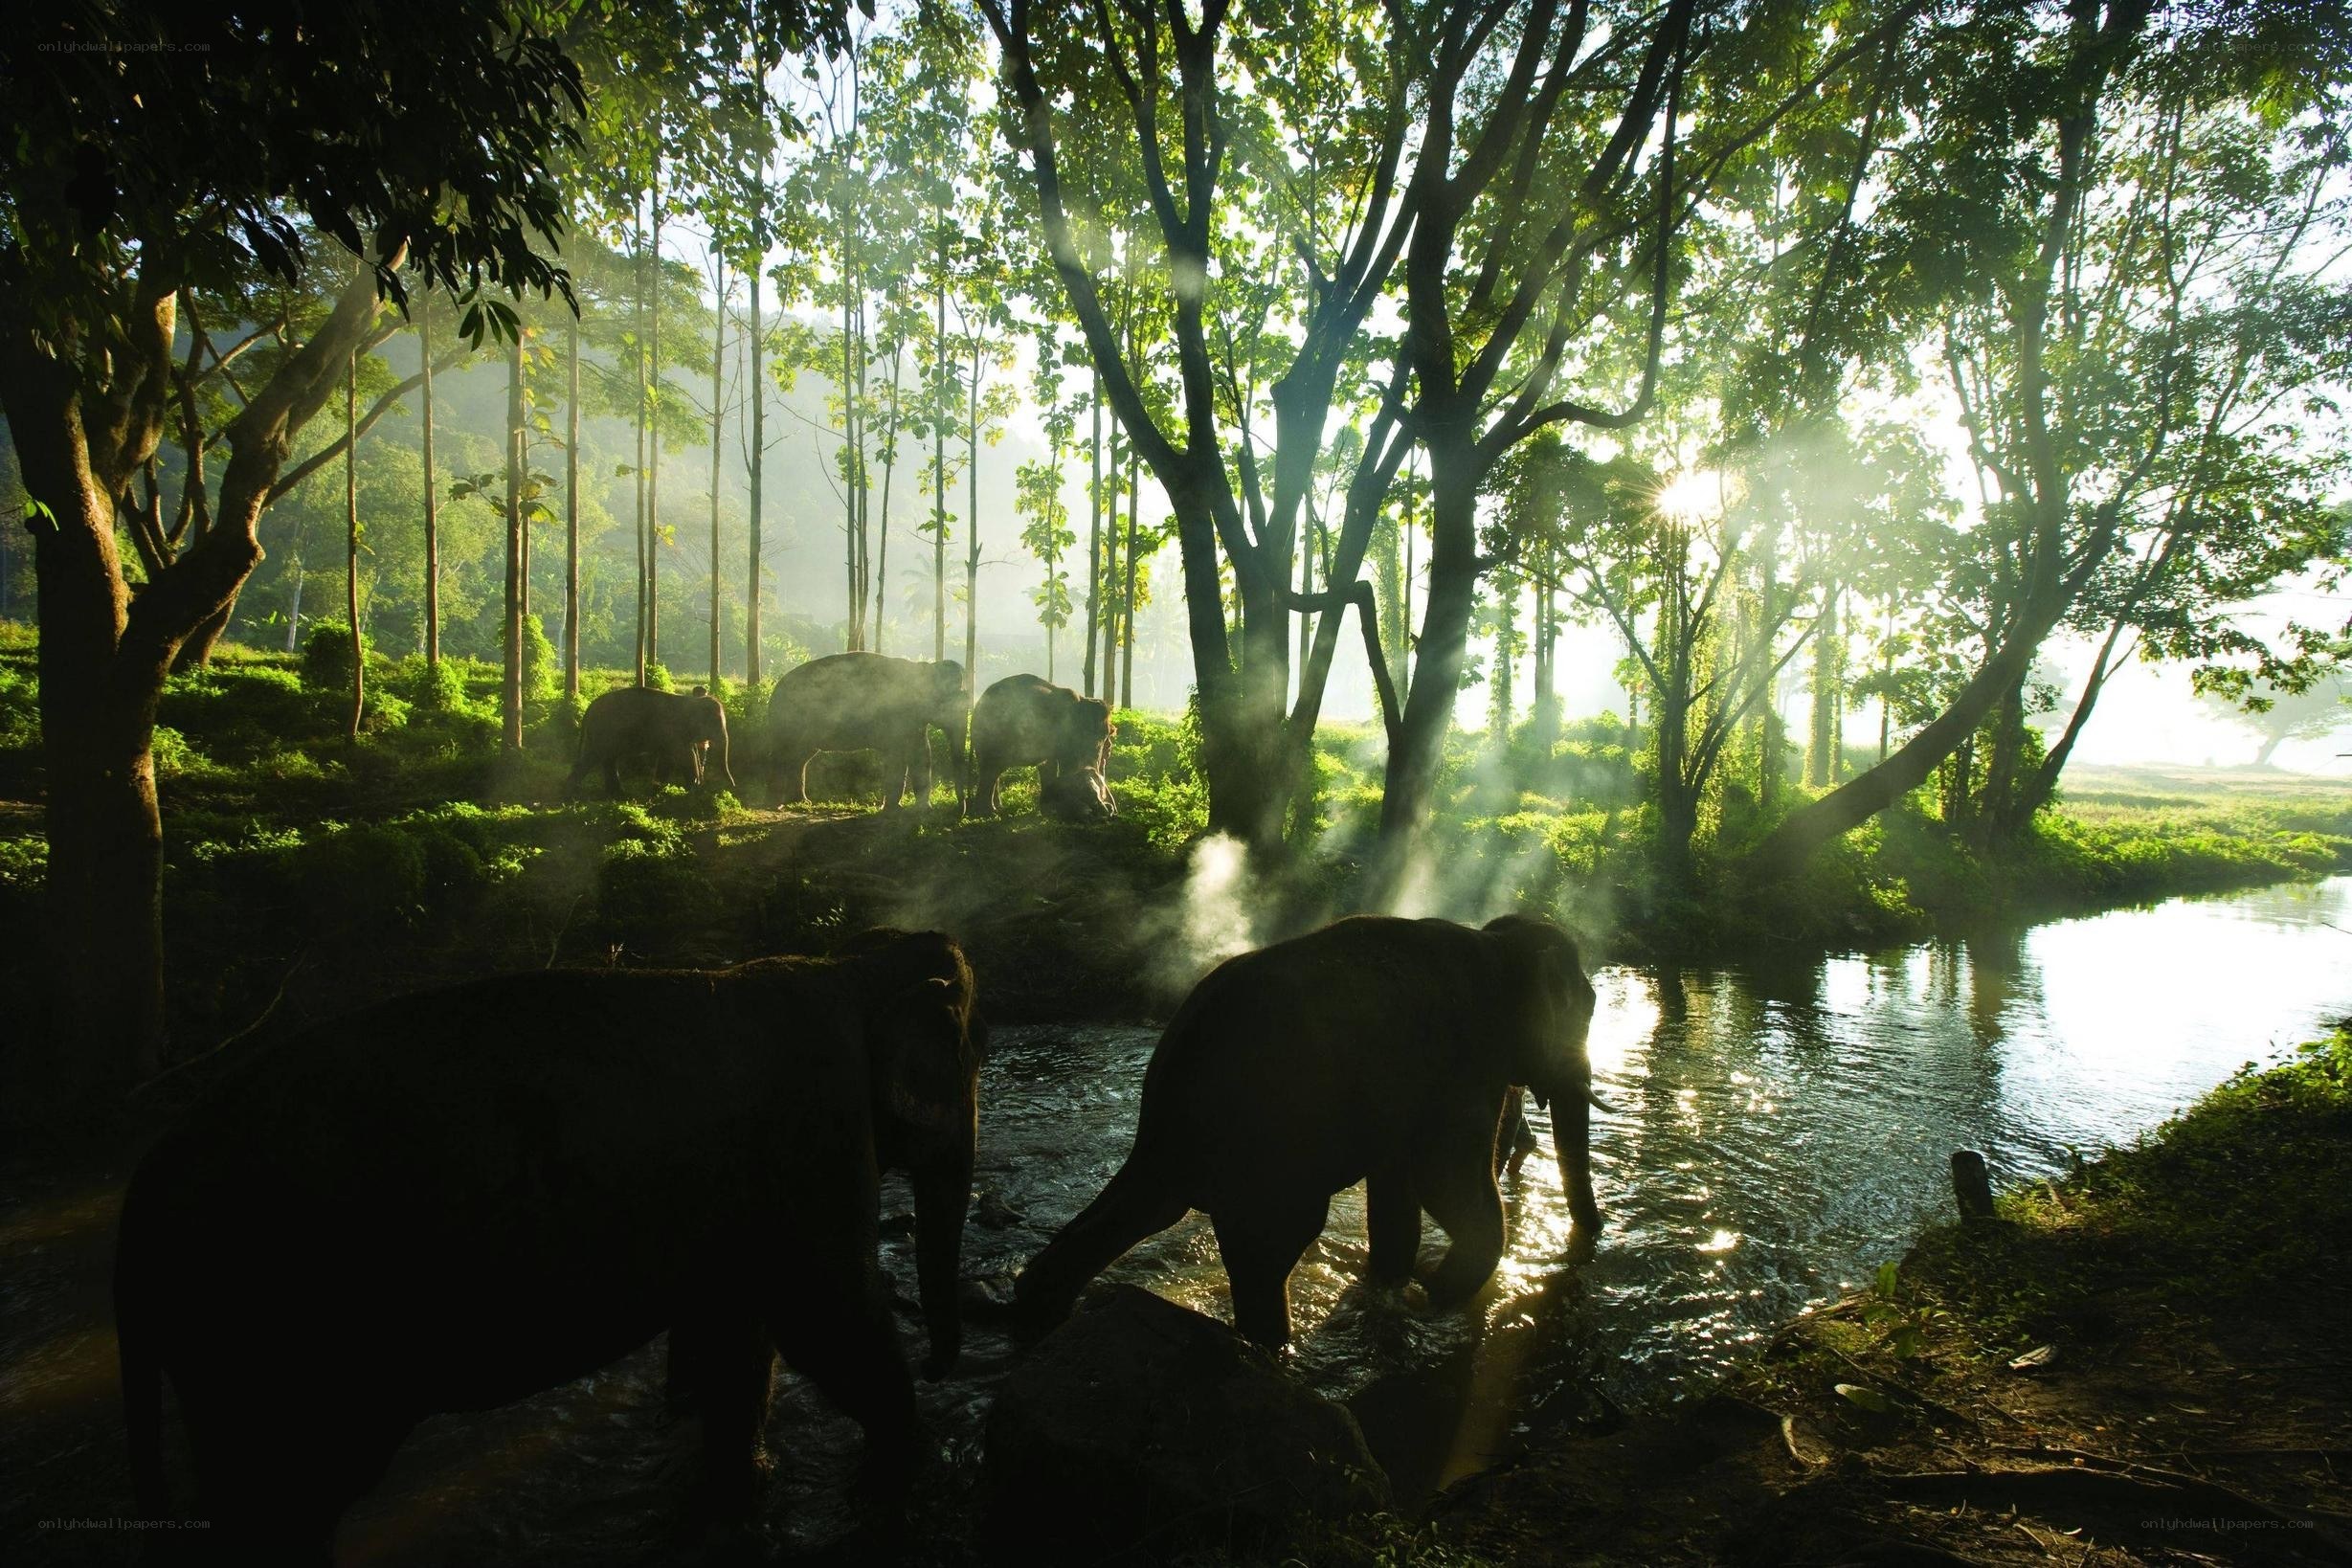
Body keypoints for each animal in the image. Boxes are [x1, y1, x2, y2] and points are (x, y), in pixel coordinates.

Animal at [114, 928, 986, 1559]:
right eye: (971, 1068)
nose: (944, 1364)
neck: (848, 967)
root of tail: (145, 1179)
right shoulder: (812, 1128)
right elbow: (825, 1319)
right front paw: (904, 1472)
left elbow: (739, 1332)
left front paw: (744, 1488)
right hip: (265, 1332)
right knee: (284, 1502)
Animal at [564, 683, 736, 800]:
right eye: (716, 723)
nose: (732, 786)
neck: (692, 702)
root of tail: (590, 706)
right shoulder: (672, 730)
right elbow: (684, 756)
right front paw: (693, 792)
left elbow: (668, 759)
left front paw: (657, 791)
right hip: (603, 731)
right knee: (595, 758)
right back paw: (570, 794)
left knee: (606, 759)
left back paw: (617, 794)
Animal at [767, 652, 969, 813]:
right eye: (957, 703)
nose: (959, 810)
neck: (926, 669)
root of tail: (776, 688)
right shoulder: (897, 714)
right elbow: (897, 755)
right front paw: (893, 809)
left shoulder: (915, 720)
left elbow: (922, 752)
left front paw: (922, 810)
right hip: (787, 721)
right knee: (783, 755)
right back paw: (777, 805)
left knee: (800, 757)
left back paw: (802, 802)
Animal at [967, 673, 1114, 817]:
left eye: (1106, 736)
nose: (1109, 809)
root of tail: (977, 706)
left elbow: (1048, 765)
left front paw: (1048, 809)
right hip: (992, 737)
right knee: (991, 769)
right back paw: (987, 812)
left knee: (993, 770)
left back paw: (997, 808)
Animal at [1014, 914, 1604, 1349]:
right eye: (1586, 1010)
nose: (1593, 1234)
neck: (1497, 943)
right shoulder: (1466, 1064)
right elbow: (1446, 1182)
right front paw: (1435, 1295)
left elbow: (1399, 1191)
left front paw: (1399, 1287)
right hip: (1271, 1146)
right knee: (1270, 1247)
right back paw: (1271, 1348)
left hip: (1180, 1148)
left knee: (1145, 1209)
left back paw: (1036, 1309)